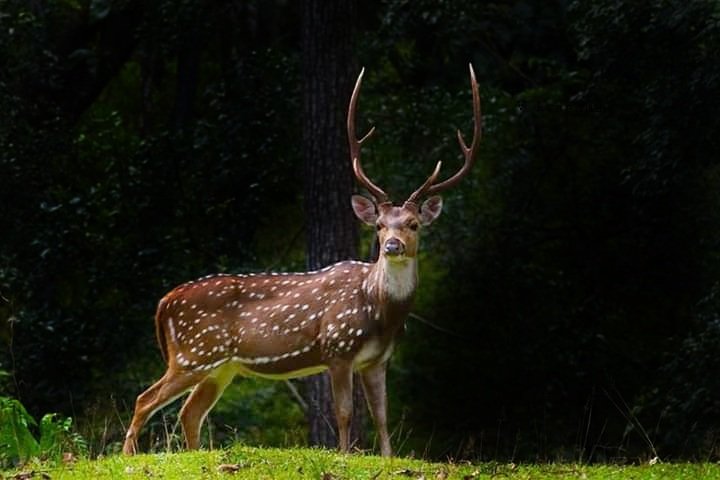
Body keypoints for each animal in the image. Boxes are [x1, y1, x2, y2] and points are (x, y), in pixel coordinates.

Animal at [122, 64, 481, 457]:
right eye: (379, 225)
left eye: (413, 224)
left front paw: (386, 458)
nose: (392, 246)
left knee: (189, 412)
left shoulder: (378, 359)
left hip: (221, 365)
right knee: (144, 399)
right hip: (195, 353)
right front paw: (345, 455)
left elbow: (382, 415)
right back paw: (127, 457)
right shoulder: (337, 346)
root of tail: (163, 303)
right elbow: (344, 412)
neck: (379, 311)